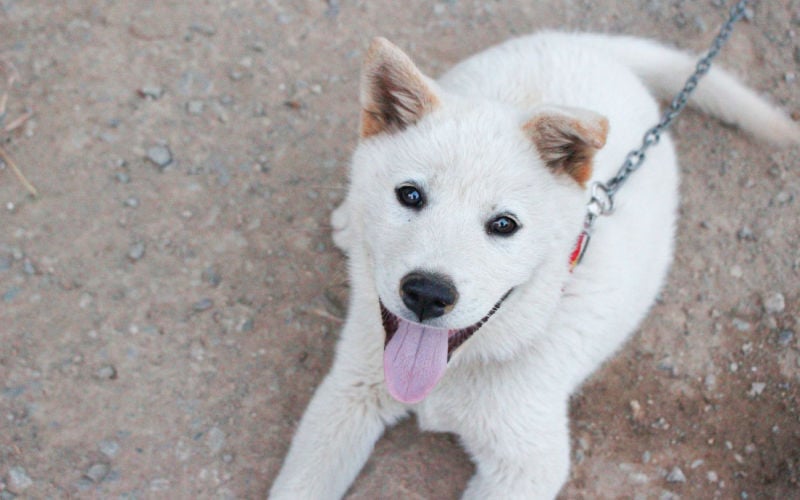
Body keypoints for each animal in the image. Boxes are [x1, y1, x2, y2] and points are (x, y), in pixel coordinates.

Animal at [270, 32, 800, 500]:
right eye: (410, 195)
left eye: (504, 225)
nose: (426, 294)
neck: (461, 363)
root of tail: (591, 45)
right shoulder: (348, 392)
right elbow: (298, 486)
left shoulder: (528, 465)